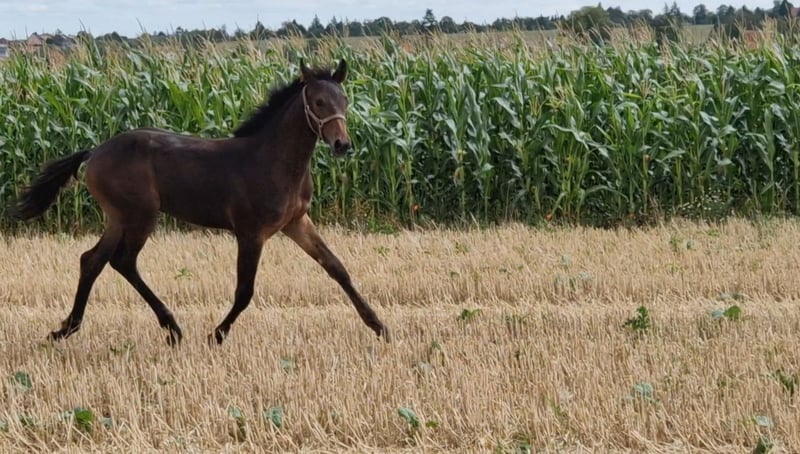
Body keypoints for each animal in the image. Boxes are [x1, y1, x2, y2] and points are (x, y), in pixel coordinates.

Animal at [8, 59, 389, 346]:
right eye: (318, 102)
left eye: (345, 100)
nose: (342, 145)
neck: (274, 161)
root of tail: (95, 151)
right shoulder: (251, 233)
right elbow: (245, 290)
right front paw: (217, 334)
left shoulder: (297, 223)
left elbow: (336, 267)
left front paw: (379, 325)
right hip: (140, 215)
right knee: (122, 261)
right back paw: (172, 327)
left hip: (118, 217)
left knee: (93, 260)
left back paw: (66, 328)